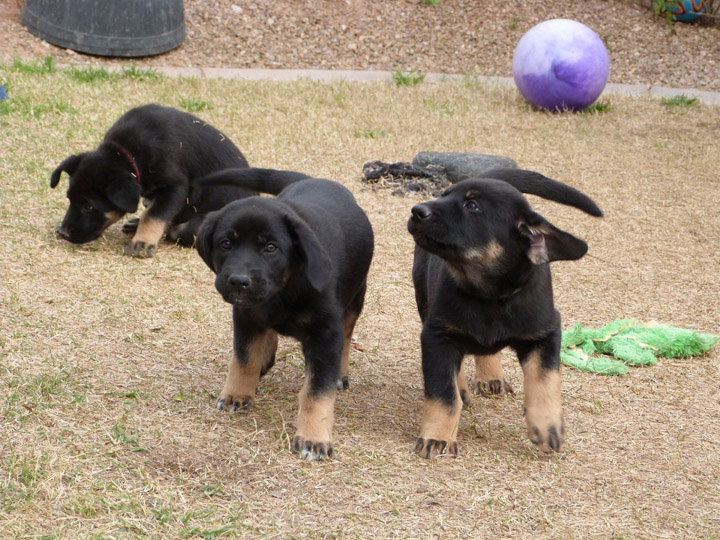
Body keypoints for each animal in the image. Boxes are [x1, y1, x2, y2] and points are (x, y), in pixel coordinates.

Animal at [50, 106, 253, 260]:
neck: (125, 154)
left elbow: (155, 215)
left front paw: (143, 242)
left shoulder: (174, 187)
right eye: (70, 199)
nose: (64, 233)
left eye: (88, 206)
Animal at [197, 168, 376, 460]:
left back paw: (340, 373)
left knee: (348, 335)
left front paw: (314, 438)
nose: (238, 281)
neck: (285, 287)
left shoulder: (326, 333)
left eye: (271, 247)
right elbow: (243, 358)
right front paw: (237, 393)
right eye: (225, 244)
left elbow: (317, 392)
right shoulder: (245, 314)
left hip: (355, 296)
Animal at [404, 167, 600, 458]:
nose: (417, 211)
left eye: (472, 206)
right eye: (444, 195)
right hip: (423, 299)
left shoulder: (546, 332)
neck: (489, 297)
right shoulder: (436, 335)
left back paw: (491, 376)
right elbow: (443, 393)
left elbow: (545, 380)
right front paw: (437, 437)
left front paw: (548, 426)